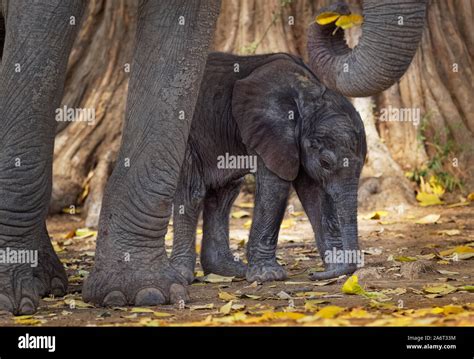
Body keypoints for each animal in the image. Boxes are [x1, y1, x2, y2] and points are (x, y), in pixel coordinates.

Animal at [170, 52, 366, 284]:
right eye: (326, 163)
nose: (314, 274)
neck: (308, 91)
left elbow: (313, 193)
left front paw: (334, 267)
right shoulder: (270, 133)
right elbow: (276, 187)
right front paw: (268, 276)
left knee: (224, 194)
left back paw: (228, 270)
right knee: (192, 192)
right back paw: (181, 275)